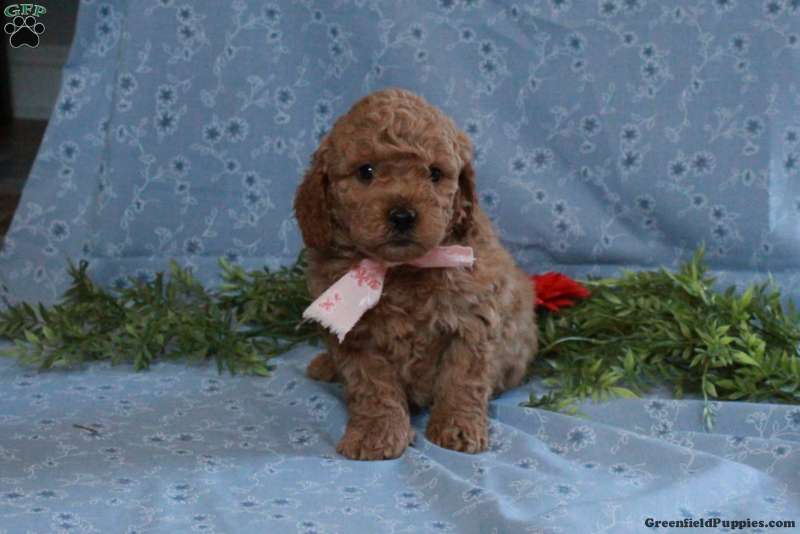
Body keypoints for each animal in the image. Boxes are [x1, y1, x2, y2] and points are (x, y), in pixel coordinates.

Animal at [294, 88, 538, 460]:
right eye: (366, 171)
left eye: (435, 174)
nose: (403, 215)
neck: (401, 270)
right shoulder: (357, 338)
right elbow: (372, 386)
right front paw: (377, 434)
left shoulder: (472, 321)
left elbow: (461, 379)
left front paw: (457, 427)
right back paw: (325, 365)